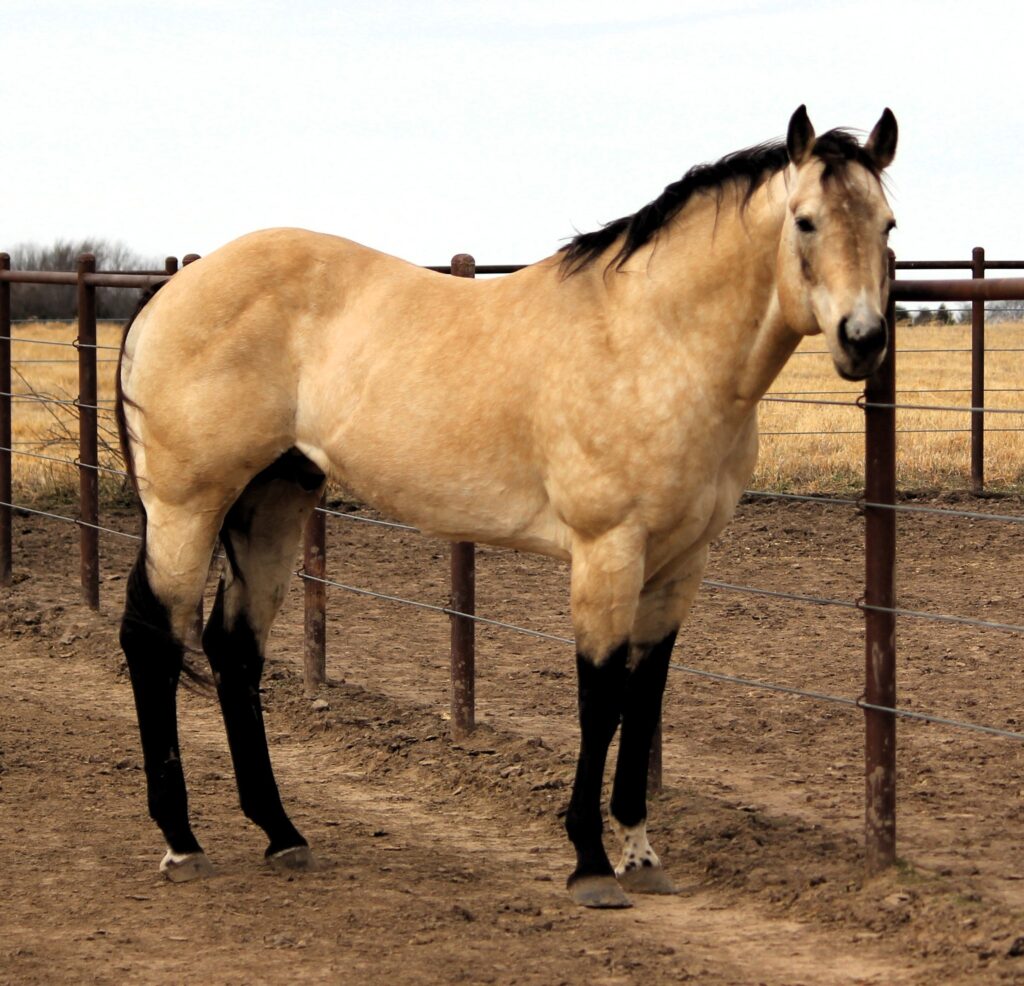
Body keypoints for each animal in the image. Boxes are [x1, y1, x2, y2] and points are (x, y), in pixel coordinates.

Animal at [119, 103, 897, 905]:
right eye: (805, 221)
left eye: (888, 225)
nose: (864, 339)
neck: (649, 340)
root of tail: (172, 291)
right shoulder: (607, 552)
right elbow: (601, 697)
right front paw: (590, 862)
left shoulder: (680, 564)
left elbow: (646, 693)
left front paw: (642, 853)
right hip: (186, 505)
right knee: (153, 639)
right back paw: (182, 841)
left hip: (272, 501)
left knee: (234, 647)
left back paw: (282, 833)